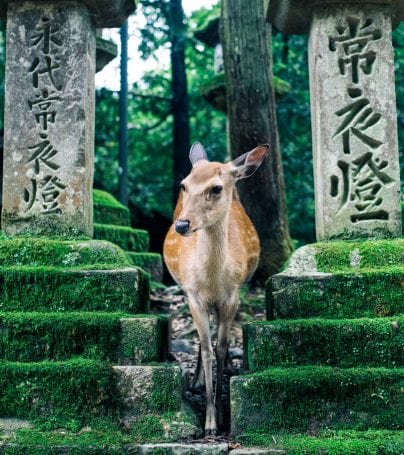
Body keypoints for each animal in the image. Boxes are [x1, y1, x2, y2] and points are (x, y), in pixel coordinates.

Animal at [163, 142, 266, 434]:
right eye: (184, 185)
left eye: (217, 188)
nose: (182, 224)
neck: (211, 281)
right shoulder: (193, 296)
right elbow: (208, 348)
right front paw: (209, 421)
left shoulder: (231, 296)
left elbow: (220, 347)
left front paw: (220, 414)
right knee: (202, 341)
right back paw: (196, 379)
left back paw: (230, 367)